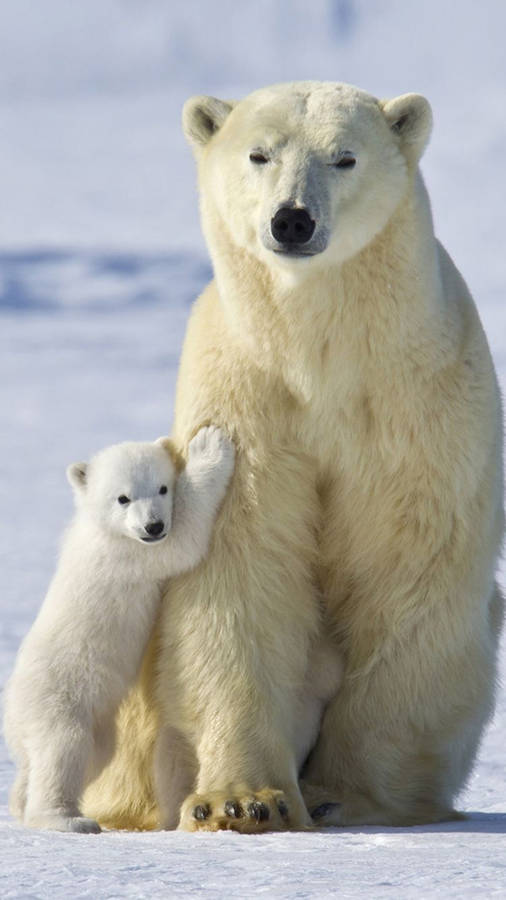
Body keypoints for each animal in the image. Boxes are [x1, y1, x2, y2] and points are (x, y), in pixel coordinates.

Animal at [3, 425, 235, 832]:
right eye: (123, 498)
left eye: (161, 487)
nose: (153, 525)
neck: (102, 529)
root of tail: (12, 716)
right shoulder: (129, 554)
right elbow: (182, 540)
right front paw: (208, 446)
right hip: (58, 697)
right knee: (62, 748)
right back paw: (68, 819)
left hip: (95, 724)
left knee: (86, 756)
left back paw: (21, 801)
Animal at [82, 81, 504, 832]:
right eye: (259, 153)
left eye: (344, 157)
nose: (292, 221)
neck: (321, 355)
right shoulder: (246, 399)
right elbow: (241, 570)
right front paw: (245, 800)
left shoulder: (418, 405)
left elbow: (408, 569)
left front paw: (349, 795)